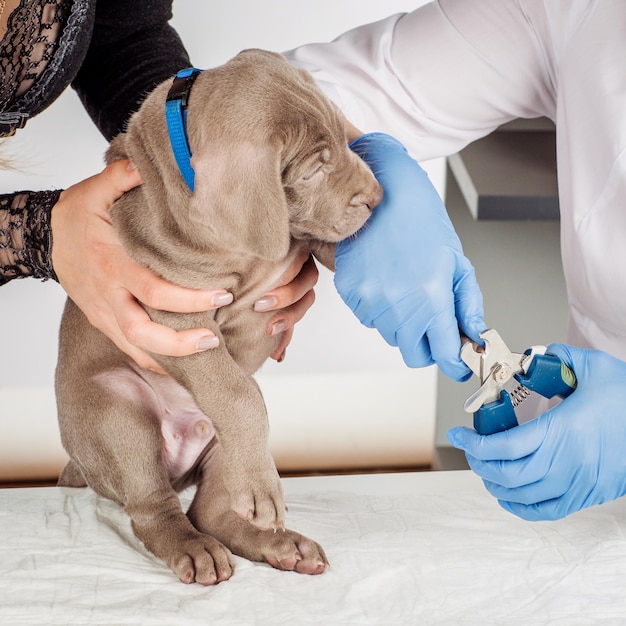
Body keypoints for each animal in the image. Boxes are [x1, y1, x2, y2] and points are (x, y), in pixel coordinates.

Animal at [56, 50, 380, 584]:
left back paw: (280, 544)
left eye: (342, 138)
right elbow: (235, 391)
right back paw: (198, 547)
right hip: (115, 414)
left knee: (212, 510)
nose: (376, 197)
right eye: (313, 171)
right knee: (155, 509)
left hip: (221, 446)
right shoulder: (175, 312)